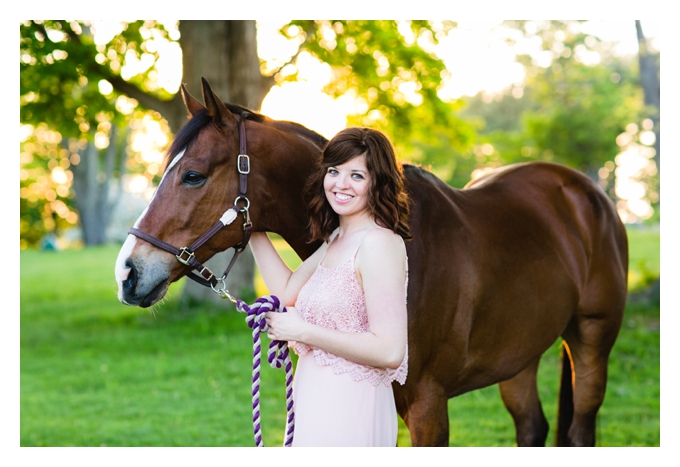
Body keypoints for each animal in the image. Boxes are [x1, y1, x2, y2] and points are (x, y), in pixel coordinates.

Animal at [115, 78, 628, 447]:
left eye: (192, 175)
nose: (128, 272)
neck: (408, 245)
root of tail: (586, 191)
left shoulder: (428, 404)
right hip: (520, 354)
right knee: (533, 428)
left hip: (592, 339)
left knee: (580, 430)